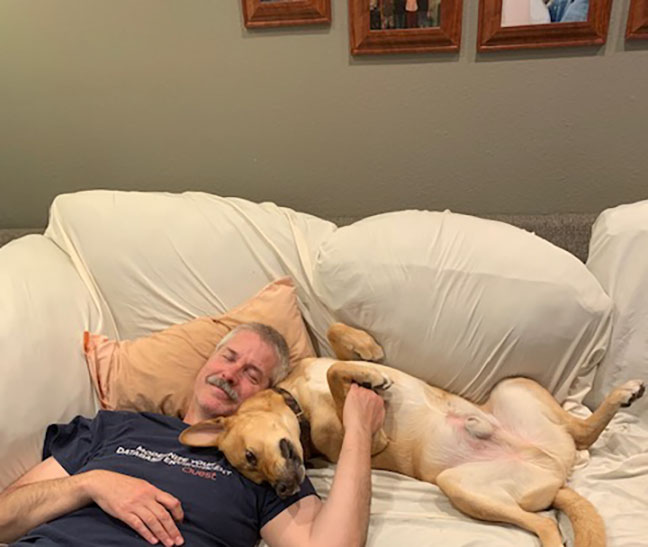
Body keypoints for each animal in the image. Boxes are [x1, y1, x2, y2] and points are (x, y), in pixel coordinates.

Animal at [180, 323, 645, 547]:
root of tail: (558, 471)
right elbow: (338, 376)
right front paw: (367, 377)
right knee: (548, 522)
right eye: (252, 473)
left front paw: (368, 350)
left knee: (582, 432)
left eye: (250, 459)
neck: (297, 402)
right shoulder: (366, 438)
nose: (283, 490)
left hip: (512, 387)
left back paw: (623, 394)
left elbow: (335, 345)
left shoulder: (324, 365)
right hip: (461, 485)